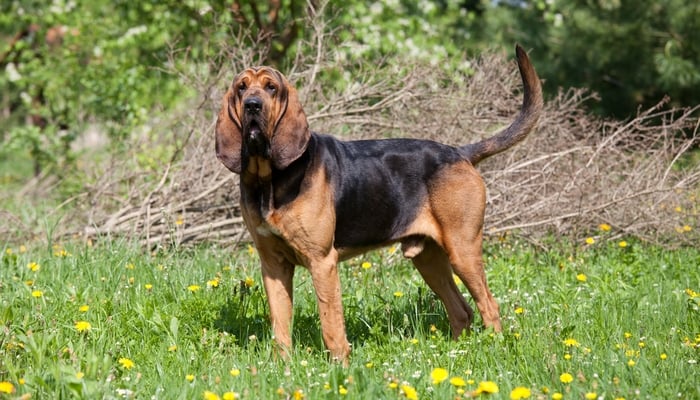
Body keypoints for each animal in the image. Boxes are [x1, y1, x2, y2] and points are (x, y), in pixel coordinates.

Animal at [216, 44, 544, 362]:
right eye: (241, 88)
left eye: (271, 88)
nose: (252, 105)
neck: (268, 178)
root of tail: (460, 153)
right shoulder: (273, 266)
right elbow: (281, 328)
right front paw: (283, 368)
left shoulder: (322, 262)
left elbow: (331, 326)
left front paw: (340, 368)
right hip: (429, 259)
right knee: (461, 310)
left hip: (463, 249)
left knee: (489, 305)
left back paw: (494, 348)